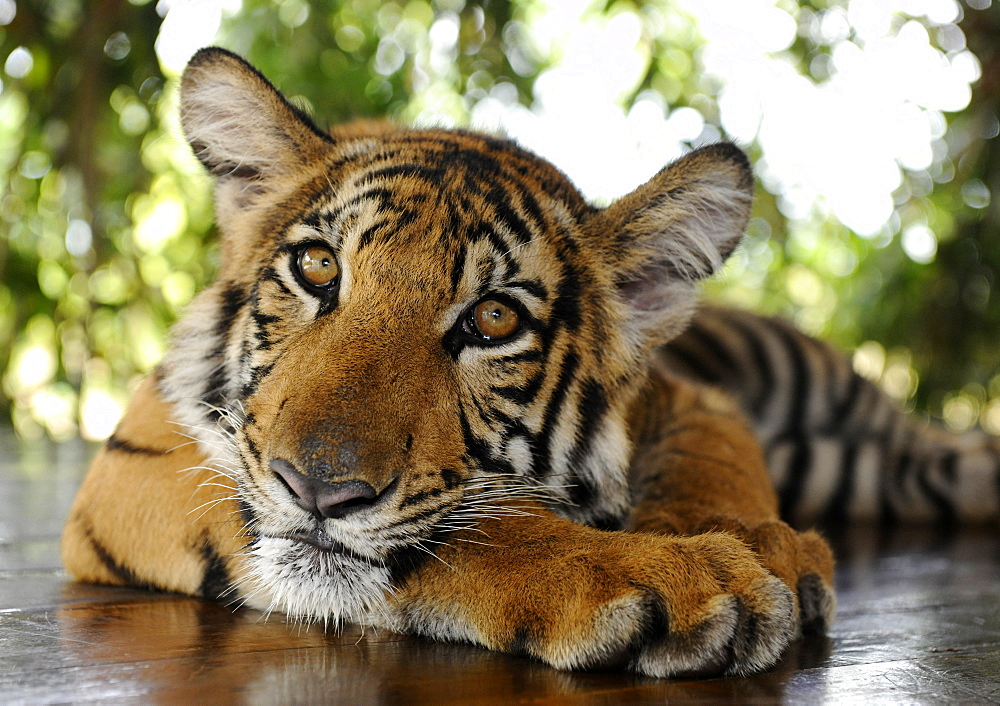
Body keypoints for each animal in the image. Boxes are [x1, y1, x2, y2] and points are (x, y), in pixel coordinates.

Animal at [60, 48, 1000, 676]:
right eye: (319, 268)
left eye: (493, 319)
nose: (319, 489)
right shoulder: (150, 452)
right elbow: (478, 531)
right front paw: (684, 576)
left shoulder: (697, 401)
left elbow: (716, 466)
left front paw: (758, 544)